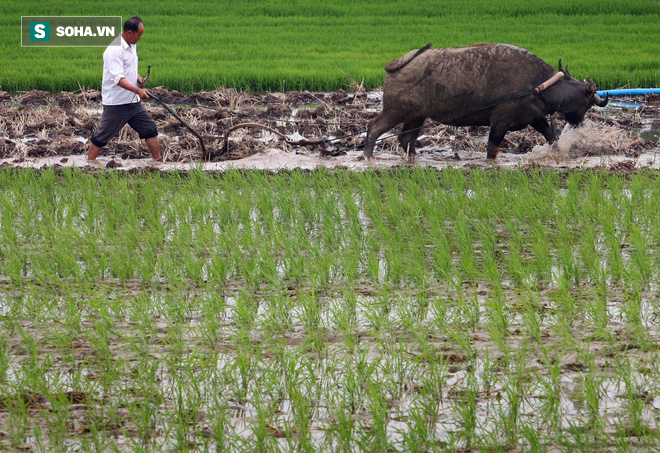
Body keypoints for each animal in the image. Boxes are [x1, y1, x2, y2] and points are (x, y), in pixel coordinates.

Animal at [364, 42, 612, 159]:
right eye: (588, 103)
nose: (578, 123)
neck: (536, 84)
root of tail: (397, 63)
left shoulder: (534, 117)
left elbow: (552, 137)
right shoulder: (500, 121)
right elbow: (492, 148)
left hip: (417, 116)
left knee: (406, 138)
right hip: (396, 111)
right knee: (374, 127)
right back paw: (367, 155)